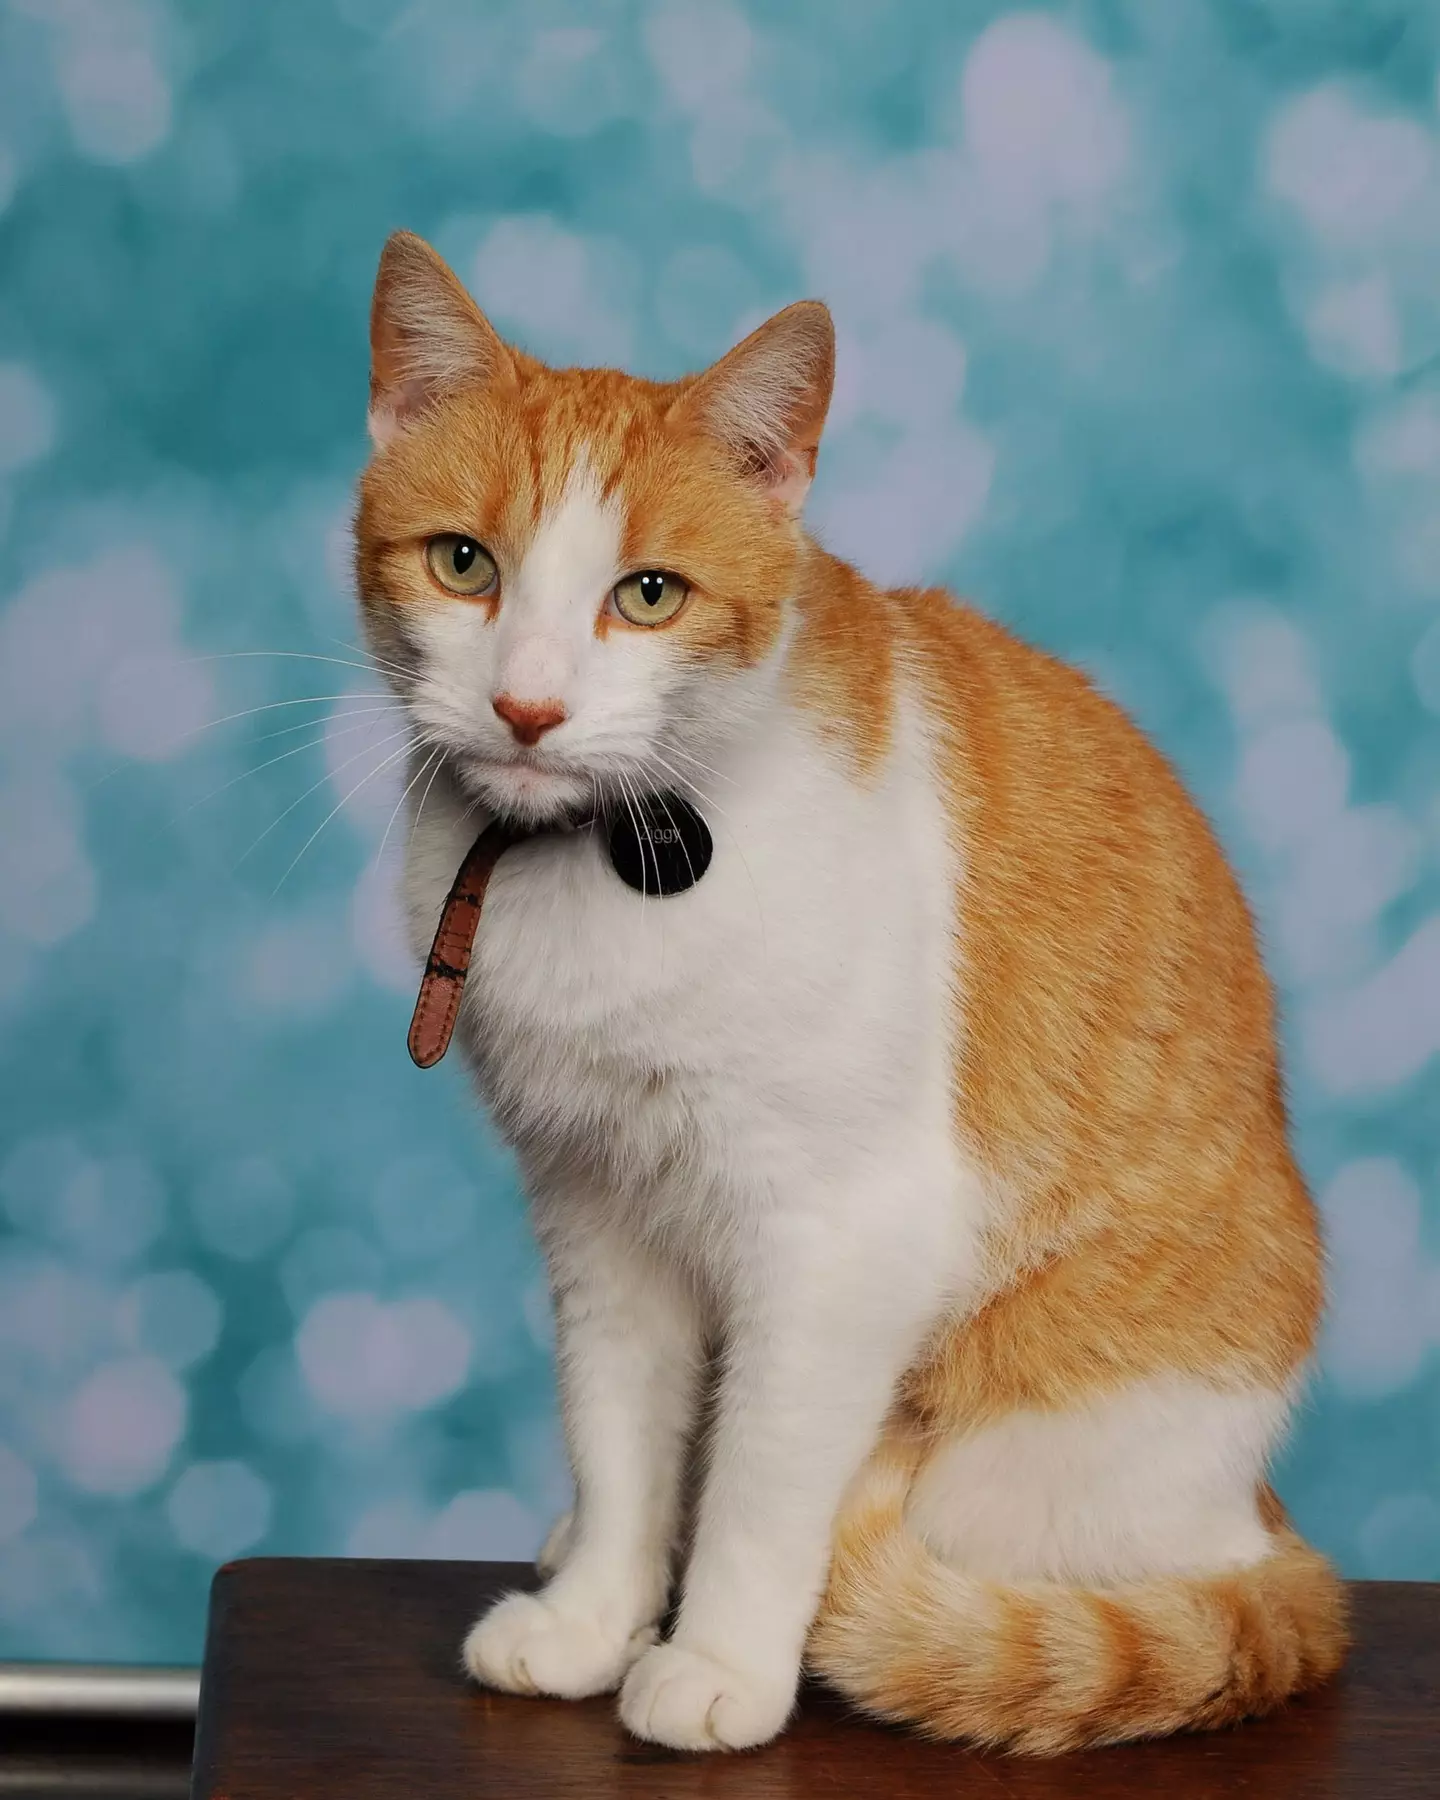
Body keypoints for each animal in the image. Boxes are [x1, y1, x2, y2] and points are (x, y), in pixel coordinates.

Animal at [351, 232, 1353, 1749]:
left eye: (648, 594)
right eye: (464, 564)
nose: (527, 709)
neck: (604, 863)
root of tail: (1263, 1519)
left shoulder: (839, 1238)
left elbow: (767, 1481)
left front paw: (715, 1658)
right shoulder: (597, 1214)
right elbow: (618, 1436)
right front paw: (595, 1613)